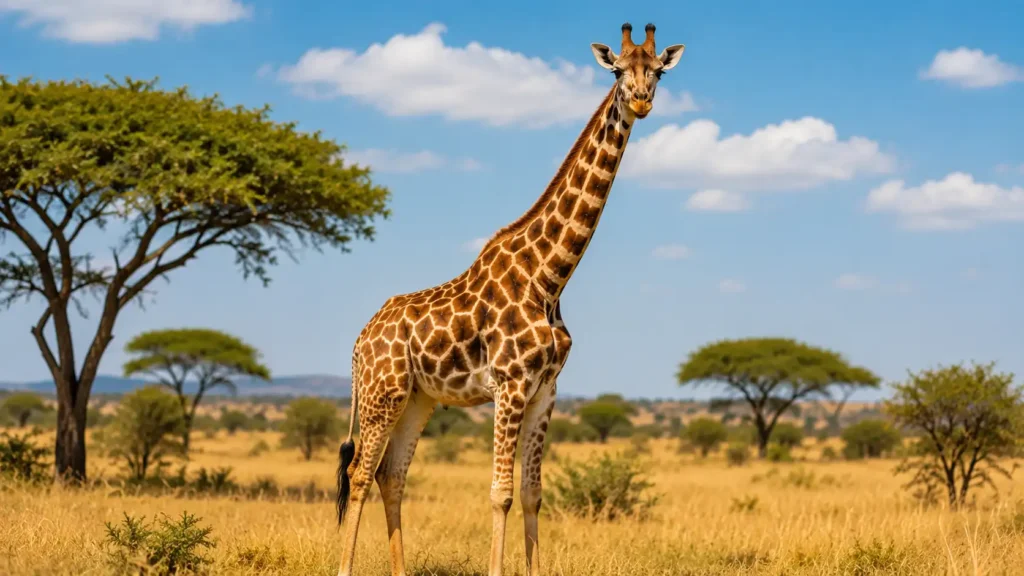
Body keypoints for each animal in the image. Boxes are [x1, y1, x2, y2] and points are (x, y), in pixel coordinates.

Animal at [334, 22, 686, 576]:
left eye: (657, 71)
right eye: (616, 70)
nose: (640, 101)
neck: (550, 278)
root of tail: (358, 342)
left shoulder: (546, 389)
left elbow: (532, 492)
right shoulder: (510, 384)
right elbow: (499, 492)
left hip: (417, 398)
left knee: (392, 475)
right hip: (380, 394)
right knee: (361, 475)